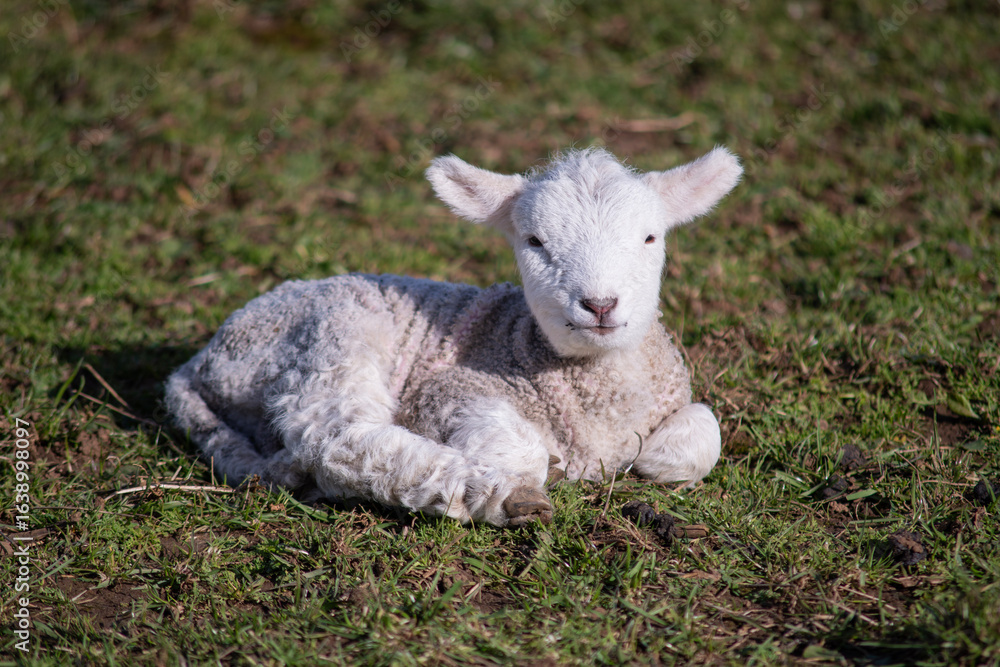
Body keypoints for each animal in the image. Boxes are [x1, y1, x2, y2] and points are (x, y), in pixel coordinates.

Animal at [165, 147, 742, 527]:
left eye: (650, 238)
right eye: (534, 241)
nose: (600, 304)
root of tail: (195, 364)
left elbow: (703, 432)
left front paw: (649, 460)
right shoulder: (445, 388)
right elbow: (521, 444)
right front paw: (536, 471)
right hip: (326, 335)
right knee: (334, 440)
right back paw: (491, 492)